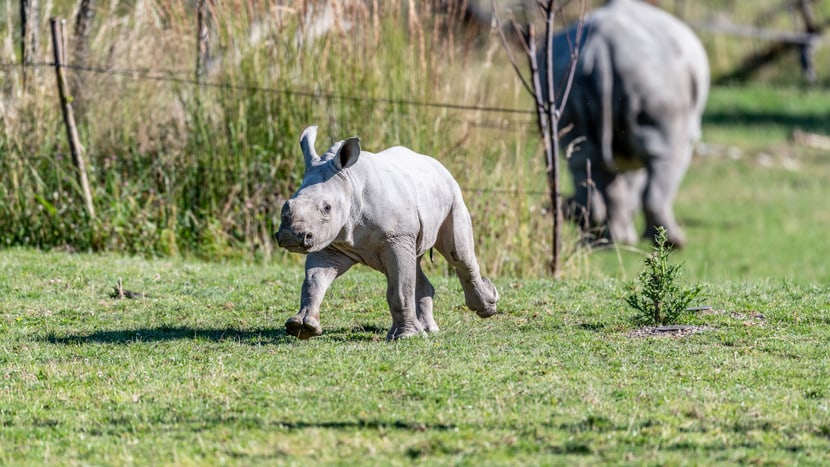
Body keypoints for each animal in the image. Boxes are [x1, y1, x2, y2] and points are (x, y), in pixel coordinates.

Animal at [278, 126, 500, 342]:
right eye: (287, 204)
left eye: (327, 208)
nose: (291, 236)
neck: (349, 182)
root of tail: (438, 165)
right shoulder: (329, 240)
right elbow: (314, 281)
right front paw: (302, 327)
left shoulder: (395, 236)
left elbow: (399, 289)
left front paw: (405, 337)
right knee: (413, 265)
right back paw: (429, 330)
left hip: (454, 196)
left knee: (459, 255)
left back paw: (486, 308)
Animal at [544, 0, 708, 249]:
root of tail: (600, 46)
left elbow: (628, 184)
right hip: (656, 80)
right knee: (666, 155)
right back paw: (673, 242)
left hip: (567, 78)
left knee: (584, 158)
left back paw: (610, 240)